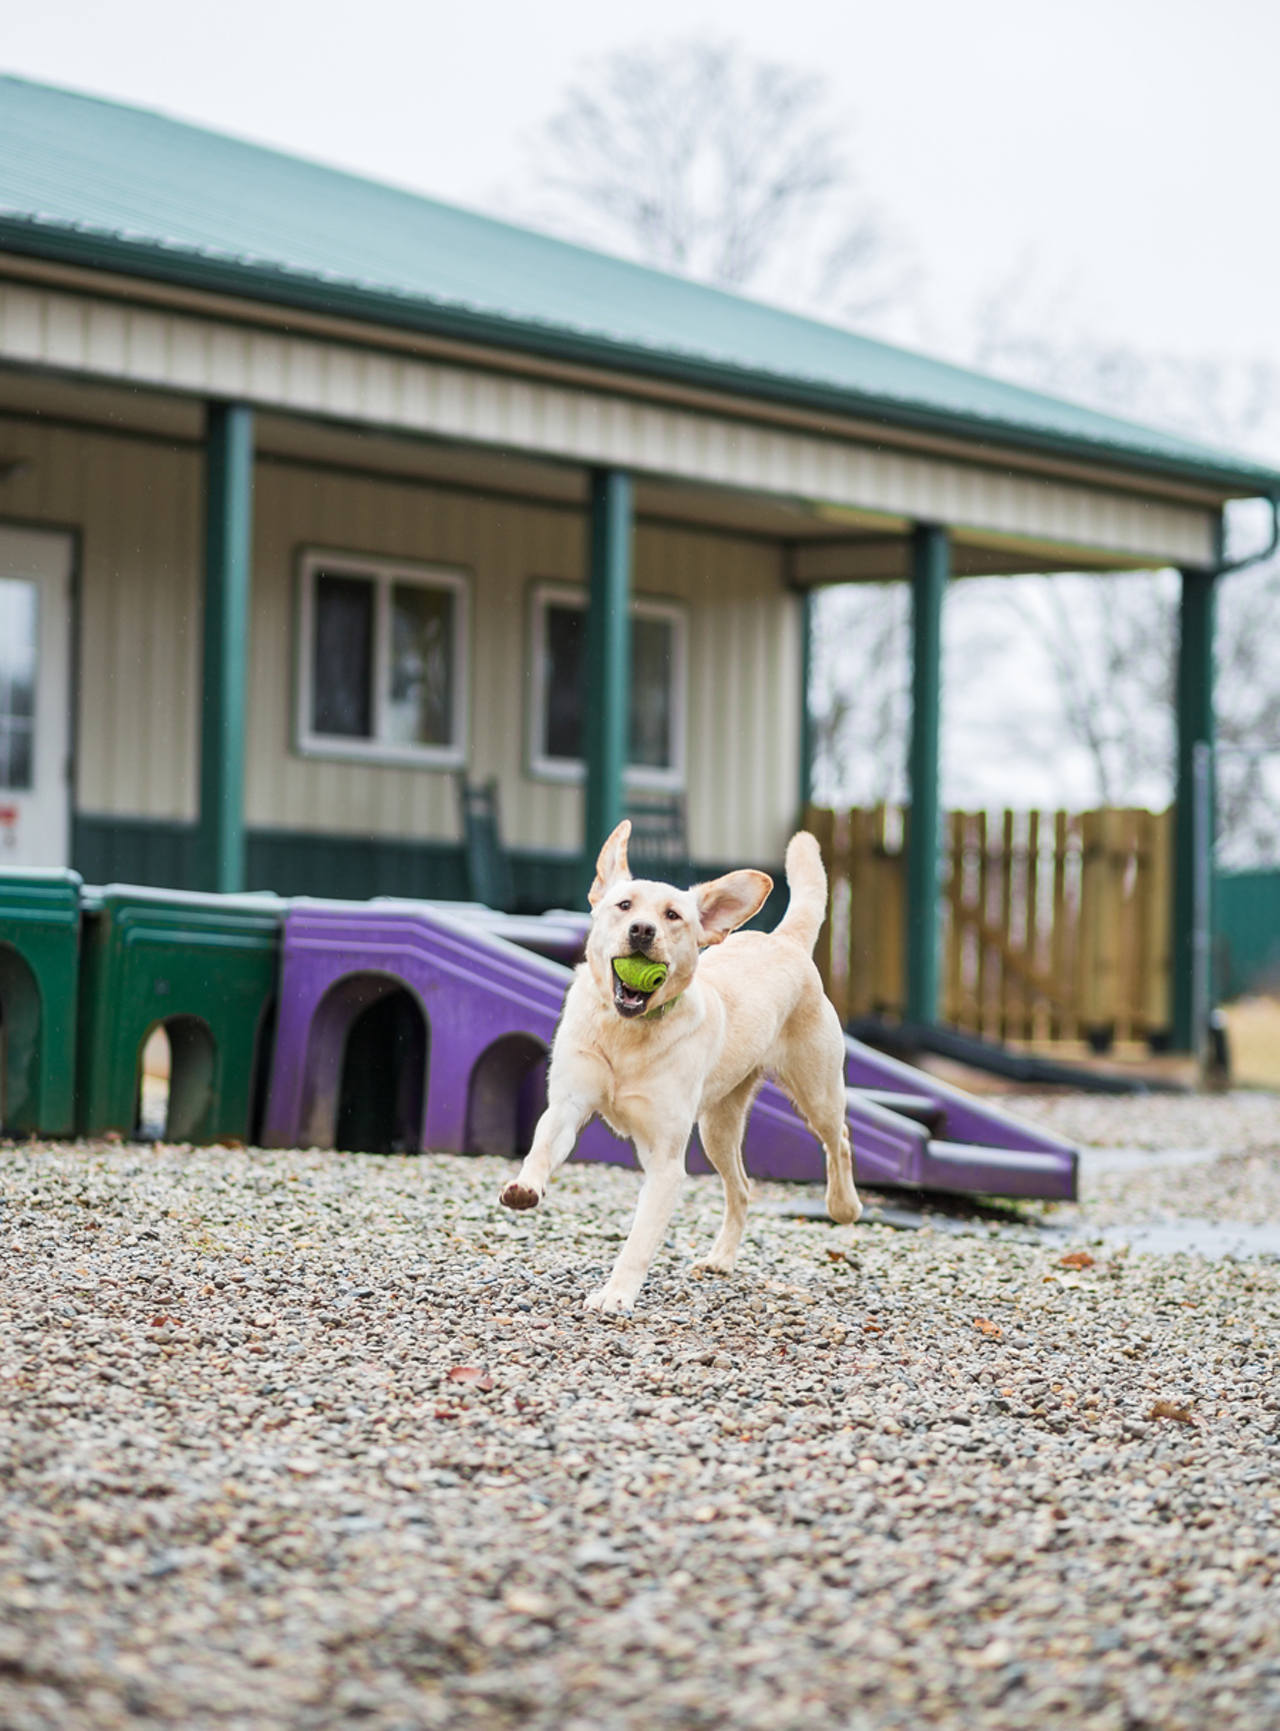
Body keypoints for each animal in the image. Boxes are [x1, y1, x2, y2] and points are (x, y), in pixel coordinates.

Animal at [502, 823, 862, 1308]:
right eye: (624, 905)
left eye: (673, 915)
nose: (641, 930)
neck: (627, 1035)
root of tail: (782, 940)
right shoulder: (568, 1105)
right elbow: (541, 1148)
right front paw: (526, 1187)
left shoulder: (666, 1160)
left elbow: (639, 1239)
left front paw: (616, 1295)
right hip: (717, 1130)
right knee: (742, 1188)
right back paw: (722, 1259)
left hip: (816, 1092)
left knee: (838, 1139)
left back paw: (844, 1206)